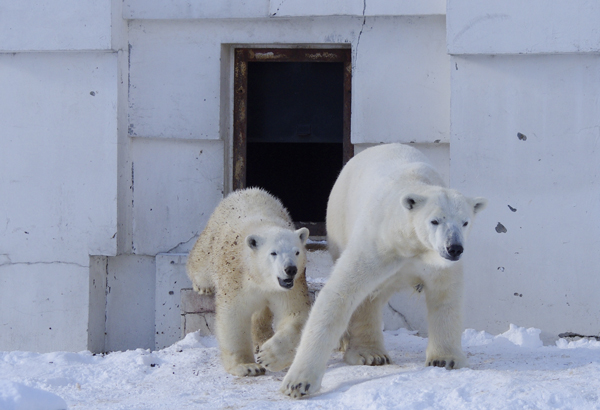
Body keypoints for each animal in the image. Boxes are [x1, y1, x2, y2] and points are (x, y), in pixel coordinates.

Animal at [282, 143, 488, 398]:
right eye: (435, 221)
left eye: (465, 222)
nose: (454, 248)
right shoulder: (379, 242)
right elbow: (341, 292)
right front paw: (297, 383)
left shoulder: (438, 263)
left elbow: (445, 297)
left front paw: (445, 359)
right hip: (340, 220)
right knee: (366, 297)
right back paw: (369, 354)